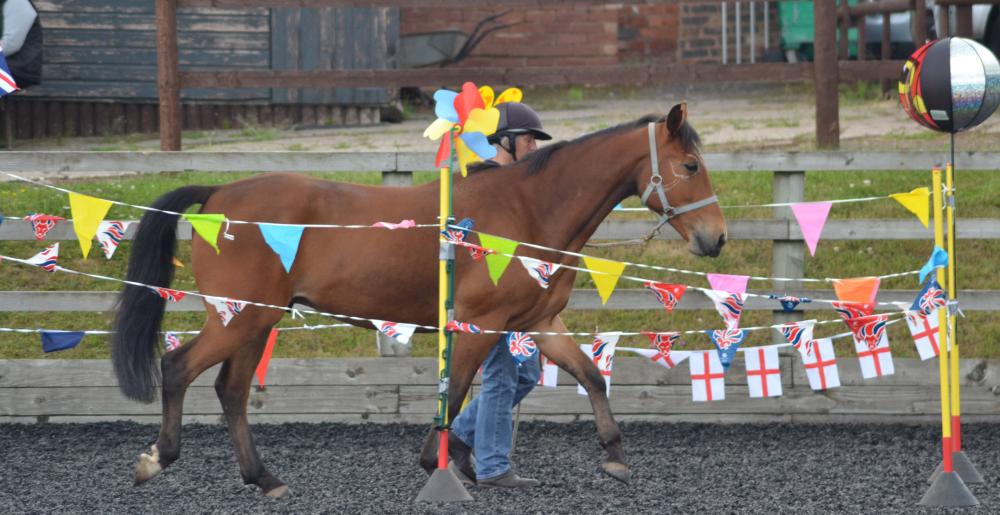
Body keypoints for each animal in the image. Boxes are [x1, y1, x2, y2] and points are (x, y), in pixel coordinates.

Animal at [113, 103, 728, 498]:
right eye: (691, 166)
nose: (715, 238)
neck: (528, 209)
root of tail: (218, 192)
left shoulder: (541, 324)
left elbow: (592, 378)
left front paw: (615, 457)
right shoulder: (480, 325)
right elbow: (454, 397)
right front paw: (442, 464)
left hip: (254, 321)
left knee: (231, 390)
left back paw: (264, 479)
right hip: (240, 318)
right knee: (179, 368)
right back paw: (155, 461)